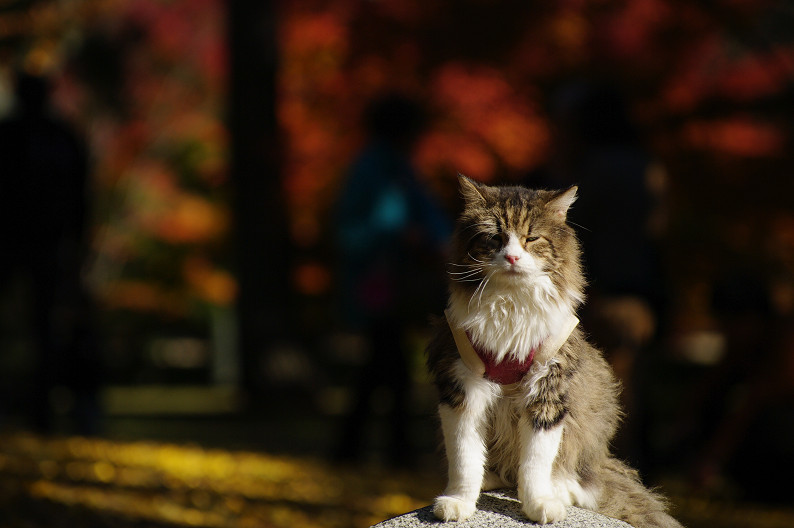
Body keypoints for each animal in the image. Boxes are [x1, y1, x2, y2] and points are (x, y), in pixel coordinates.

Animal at [426, 176, 680, 528]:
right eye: (495, 238)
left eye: (531, 238)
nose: (512, 258)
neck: (511, 304)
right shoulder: (462, 388)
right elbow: (465, 459)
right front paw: (459, 502)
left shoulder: (548, 389)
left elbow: (535, 462)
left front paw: (539, 504)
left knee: (578, 481)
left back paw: (557, 489)